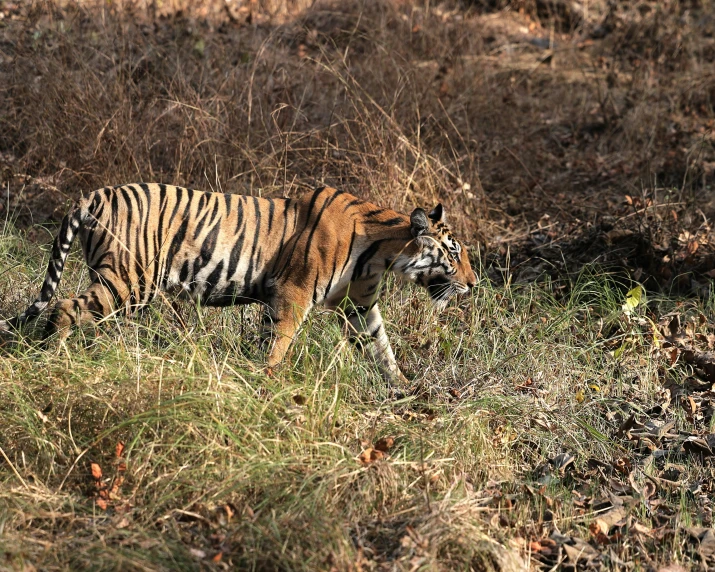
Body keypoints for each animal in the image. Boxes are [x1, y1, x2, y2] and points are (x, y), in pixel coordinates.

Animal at [1, 185, 482, 384]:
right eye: (454, 252)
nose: (475, 284)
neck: (381, 255)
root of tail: (94, 195)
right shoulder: (292, 292)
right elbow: (279, 342)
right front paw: (266, 382)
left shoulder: (358, 307)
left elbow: (382, 348)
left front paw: (402, 387)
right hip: (130, 280)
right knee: (65, 307)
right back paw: (53, 357)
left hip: (116, 280)